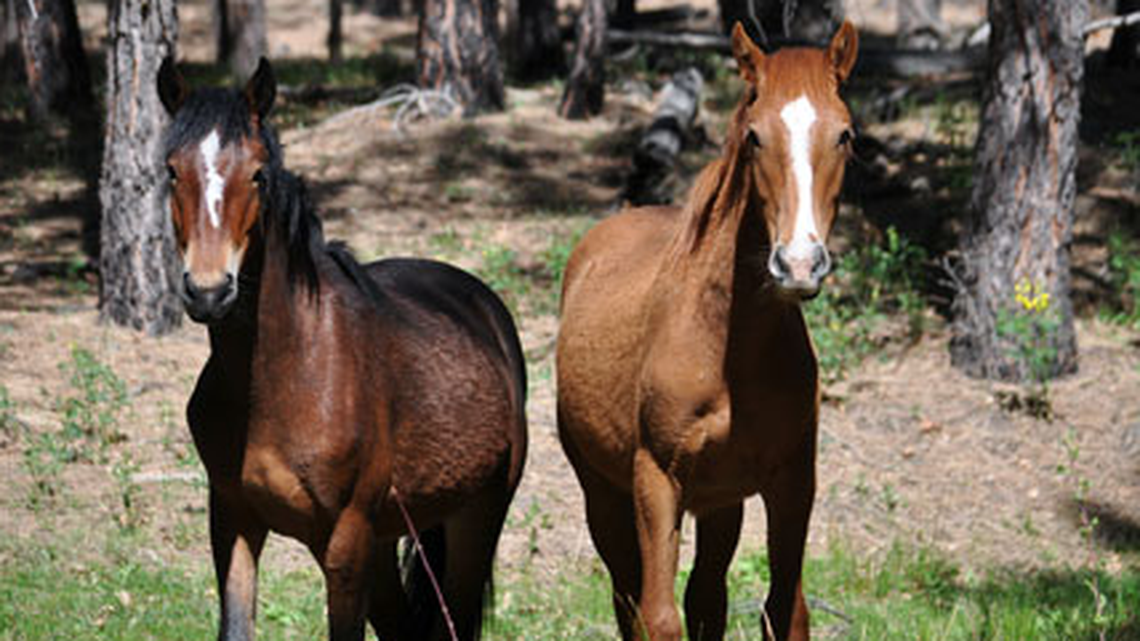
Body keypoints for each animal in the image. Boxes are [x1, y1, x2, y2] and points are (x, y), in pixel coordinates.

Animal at [157, 58, 528, 641]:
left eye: (258, 174)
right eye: (173, 171)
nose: (210, 291)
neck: (282, 376)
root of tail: (484, 305)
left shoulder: (347, 541)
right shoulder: (234, 521)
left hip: (476, 518)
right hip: (387, 541)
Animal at [555, 22, 859, 641]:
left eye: (844, 135)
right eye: (754, 137)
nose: (798, 264)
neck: (730, 351)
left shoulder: (792, 483)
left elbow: (784, 611)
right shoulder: (655, 483)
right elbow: (658, 617)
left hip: (721, 501)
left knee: (706, 596)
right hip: (603, 493)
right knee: (628, 598)